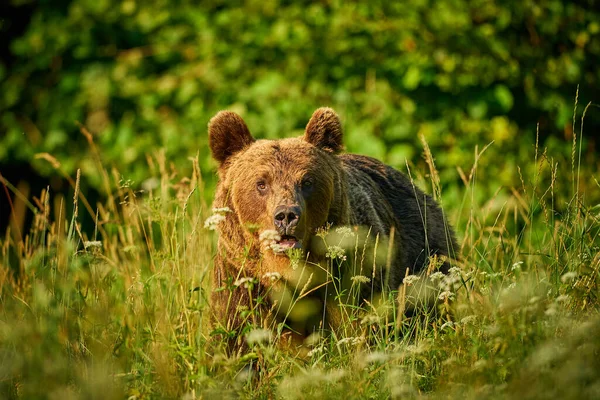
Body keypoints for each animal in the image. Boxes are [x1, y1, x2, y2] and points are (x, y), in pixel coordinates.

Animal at [209, 107, 458, 350]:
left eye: (307, 181)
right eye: (261, 183)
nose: (286, 216)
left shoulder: (354, 266)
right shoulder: (241, 278)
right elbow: (239, 333)